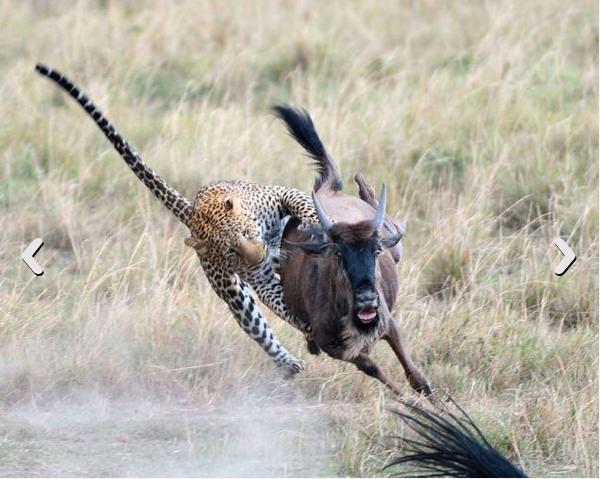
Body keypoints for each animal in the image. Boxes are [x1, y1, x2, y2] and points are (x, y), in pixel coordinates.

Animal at [35, 63, 326, 378]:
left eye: (248, 233)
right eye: (230, 252)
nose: (259, 257)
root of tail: (191, 210)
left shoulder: (279, 195)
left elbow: (301, 202)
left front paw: (317, 223)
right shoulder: (257, 278)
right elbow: (278, 301)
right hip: (232, 291)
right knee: (256, 325)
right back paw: (289, 364)